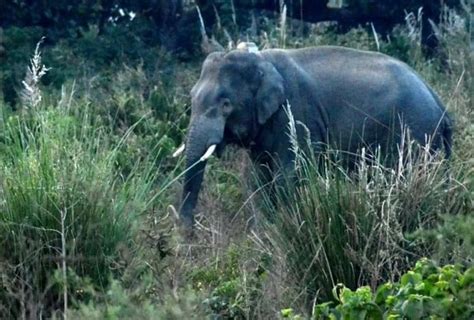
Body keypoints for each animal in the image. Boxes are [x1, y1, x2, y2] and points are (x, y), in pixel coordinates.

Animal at [176, 43, 454, 228]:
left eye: (226, 104)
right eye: (191, 97)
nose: (190, 232)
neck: (261, 59)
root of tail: (440, 105)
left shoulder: (296, 115)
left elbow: (289, 176)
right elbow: (257, 180)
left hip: (416, 133)